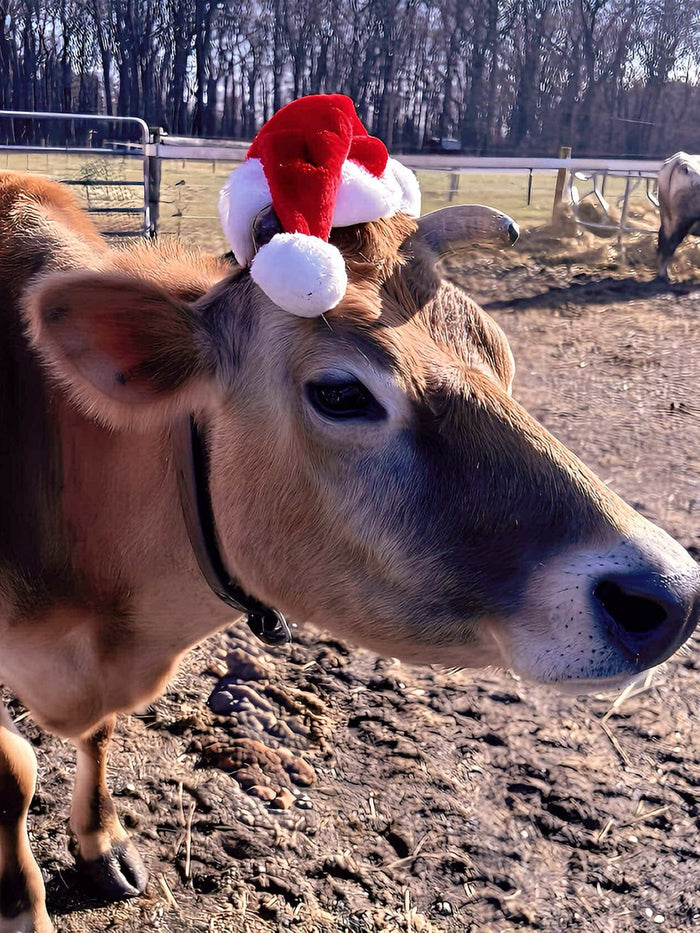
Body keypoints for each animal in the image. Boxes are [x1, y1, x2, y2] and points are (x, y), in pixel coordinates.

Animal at [0, 170, 698, 933]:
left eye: (501, 357)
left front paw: (101, 840)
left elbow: (98, 734)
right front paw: (21, 903)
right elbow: (16, 770)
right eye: (339, 392)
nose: (675, 594)